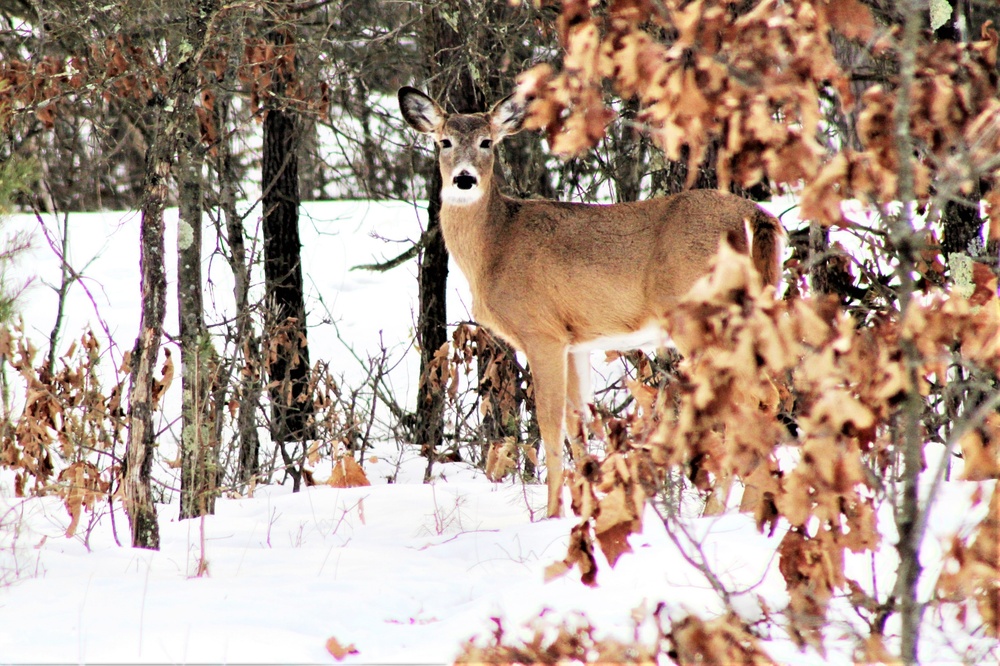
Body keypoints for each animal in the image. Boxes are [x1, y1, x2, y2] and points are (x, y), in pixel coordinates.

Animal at [396, 85, 780, 516]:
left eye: (486, 142)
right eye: (443, 141)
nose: (464, 179)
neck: (495, 246)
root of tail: (755, 217)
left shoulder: (541, 331)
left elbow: (549, 423)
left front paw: (551, 514)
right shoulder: (575, 340)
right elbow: (578, 423)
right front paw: (586, 509)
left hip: (699, 317)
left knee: (753, 397)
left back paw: (720, 509)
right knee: (771, 394)